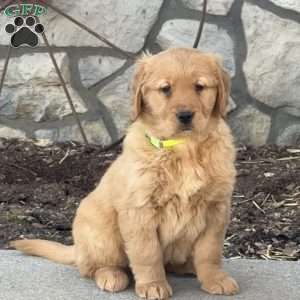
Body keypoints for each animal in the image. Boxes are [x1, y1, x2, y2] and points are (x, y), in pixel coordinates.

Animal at [11, 48, 239, 298]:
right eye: (165, 89)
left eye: (200, 86)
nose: (186, 115)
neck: (184, 148)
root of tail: (77, 249)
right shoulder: (140, 209)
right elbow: (147, 254)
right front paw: (153, 285)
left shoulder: (216, 208)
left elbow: (210, 251)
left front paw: (215, 279)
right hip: (103, 233)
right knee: (94, 267)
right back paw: (111, 275)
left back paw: (188, 266)